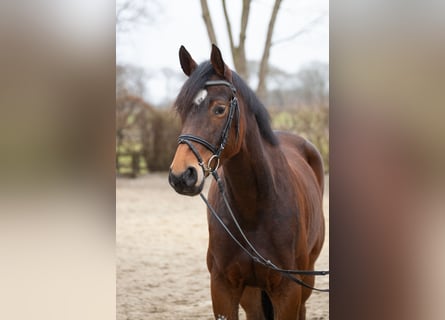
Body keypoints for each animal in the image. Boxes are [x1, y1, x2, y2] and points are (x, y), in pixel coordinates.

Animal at [168, 45, 324, 320]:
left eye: (219, 109)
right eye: (182, 110)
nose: (181, 176)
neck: (255, 209)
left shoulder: (288, 291)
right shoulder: (223, 287)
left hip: (306, 282)